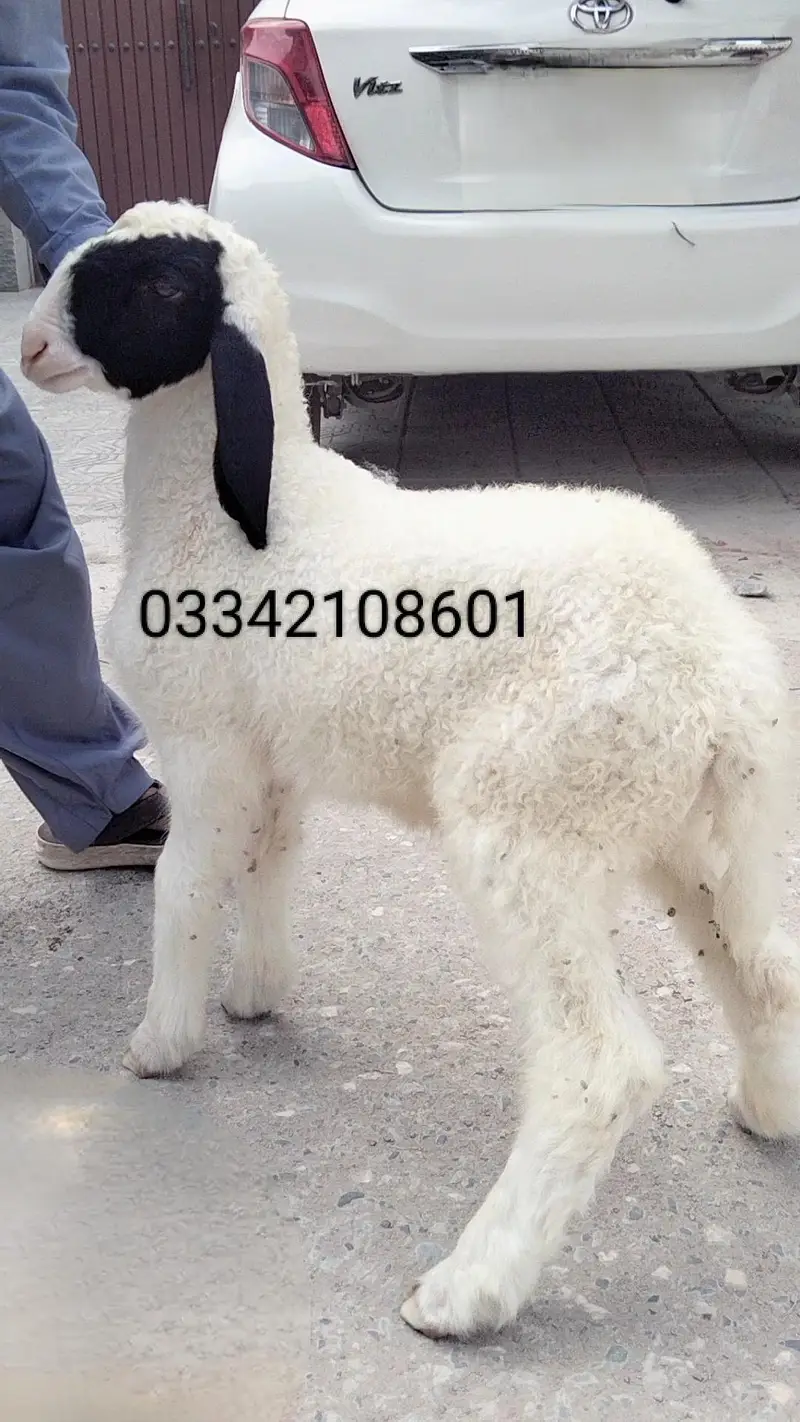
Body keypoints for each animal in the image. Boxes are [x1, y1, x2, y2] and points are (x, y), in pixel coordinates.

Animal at [20, 200, 800, 1342]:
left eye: (159, 287)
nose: (29, 350)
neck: (243, 512)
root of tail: (719, 677)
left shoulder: (206, 747)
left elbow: (183, 888)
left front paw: (161, 1042)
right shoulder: (275, 757)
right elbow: (271, 866)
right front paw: (255, 994)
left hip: (529, 826)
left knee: (596, 1067)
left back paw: (466, 1291)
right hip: (686, 838)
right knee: (766, 972)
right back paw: (766, 1111)